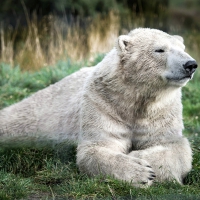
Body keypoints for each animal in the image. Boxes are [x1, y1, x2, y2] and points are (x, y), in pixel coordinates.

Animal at [0, 28, 198, 188]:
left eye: (183, 49)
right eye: (160, 49)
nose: (191, 65)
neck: (134, 96)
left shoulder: (161, 111)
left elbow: (174, 146)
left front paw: (141, 158)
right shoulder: (103, 103)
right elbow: (97, 148)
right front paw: (141, 172)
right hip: (43, 111)